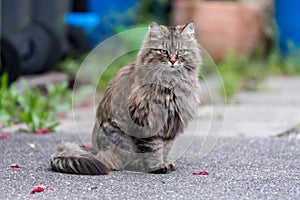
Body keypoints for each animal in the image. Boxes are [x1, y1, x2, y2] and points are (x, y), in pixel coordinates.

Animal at [50, 21, 202, 175]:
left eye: (181, 52)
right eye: (163, 51)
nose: (172, 61)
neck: (170, 83)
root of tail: (94, 151)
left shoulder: (171, 125)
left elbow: (165, 149)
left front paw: (165, 163)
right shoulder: (148, 122)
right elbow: (154, 150)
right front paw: (157, 166)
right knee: (120, 163)